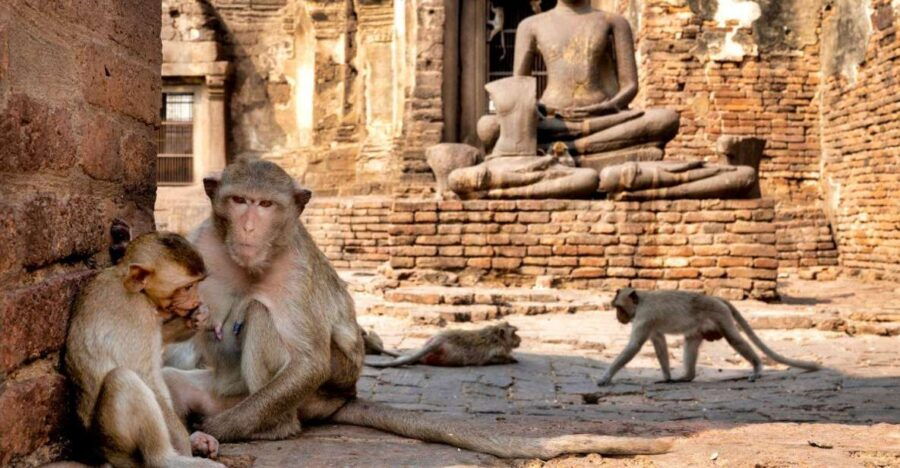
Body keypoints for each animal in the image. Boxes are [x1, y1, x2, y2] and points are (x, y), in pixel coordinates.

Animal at [65, 232, 224, 468]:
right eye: (187, 287)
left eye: (197, 285)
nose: (197, 299)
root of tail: (101, 454)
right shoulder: (135, 313)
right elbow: (145, 376)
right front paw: (183, 443)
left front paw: (198, 317)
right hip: (115, 443)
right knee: (123, 379)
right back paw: (168, 459)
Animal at [365, 322, 521, 368]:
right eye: (514, 334)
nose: (520, 340)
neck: (495, 336)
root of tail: (437, 341)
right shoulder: (496, 351)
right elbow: (495, 358)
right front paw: (511, 359)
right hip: (450, 356)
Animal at [598, 288, 822, 386]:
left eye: (619, 308)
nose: (618, 317)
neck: (642, 300)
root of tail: (715, 297)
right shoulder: (649, 323)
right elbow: (659, 341)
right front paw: (666, 377)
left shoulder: (645, 317)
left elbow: (634, 346)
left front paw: (606, 377)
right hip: (701, 327)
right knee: (690, 342)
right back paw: (686, 376)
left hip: (720, 315)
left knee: (734, 339)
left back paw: (758, 368)